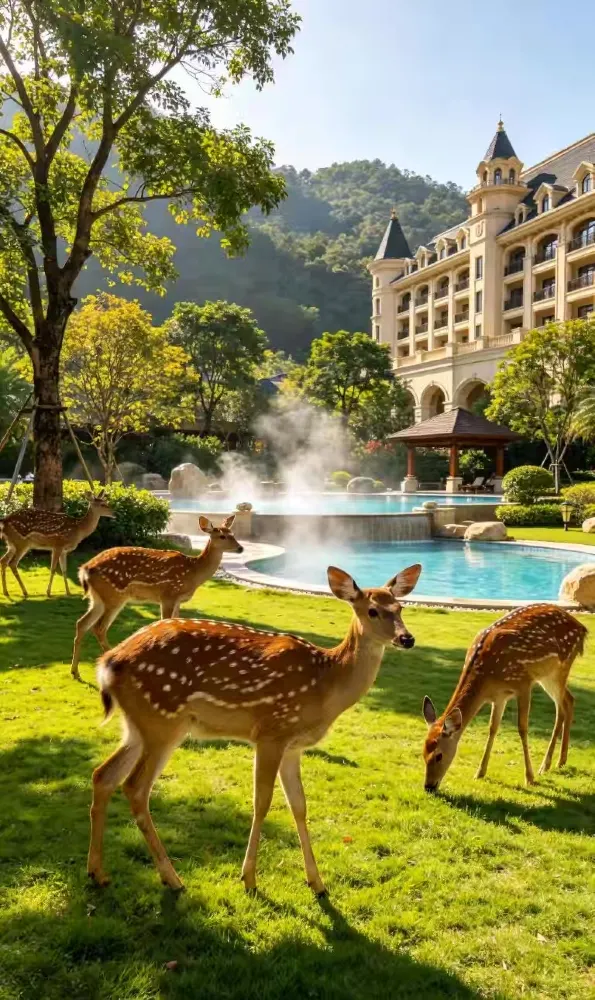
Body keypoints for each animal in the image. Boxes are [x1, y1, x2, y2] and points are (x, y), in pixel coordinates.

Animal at [71, 515, 243, 681]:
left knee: (82, 623)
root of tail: (85, 569)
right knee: (99, 627)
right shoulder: (168, 594)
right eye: (222, 536)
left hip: (97, 598)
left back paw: (75, 671)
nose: (240, 548)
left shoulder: (178, 600)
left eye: (232, 534)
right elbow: (165, 622)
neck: (193, 573)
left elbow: (176, 622)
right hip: (114, 595)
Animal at [87, 561, 422, 895]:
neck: (325, 686)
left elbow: (299, 805)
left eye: (400, 607)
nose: (407, 639)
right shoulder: (271, 731)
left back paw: (98, 873)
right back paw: (172, 878)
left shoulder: (293, 746)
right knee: (135, 787)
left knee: (104, 775)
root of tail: (108, 662)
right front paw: (248, 878)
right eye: (372, 611)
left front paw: (316, 882)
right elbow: (262, 802)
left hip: (139, 725)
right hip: (162, 720)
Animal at [422, 604, 587, 792]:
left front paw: (529, 778)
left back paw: (546, 765)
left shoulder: (523, 684)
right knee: (569, 700)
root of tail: (582, 628)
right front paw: (480, 772)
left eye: (439, 756)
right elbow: (492, 728)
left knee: (562, 706)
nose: (428, 786)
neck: (486, 677)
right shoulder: (499, 697)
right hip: (548, 676)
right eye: (423, 753)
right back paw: (559, 761)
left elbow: (522, 728)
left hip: (559, 668)